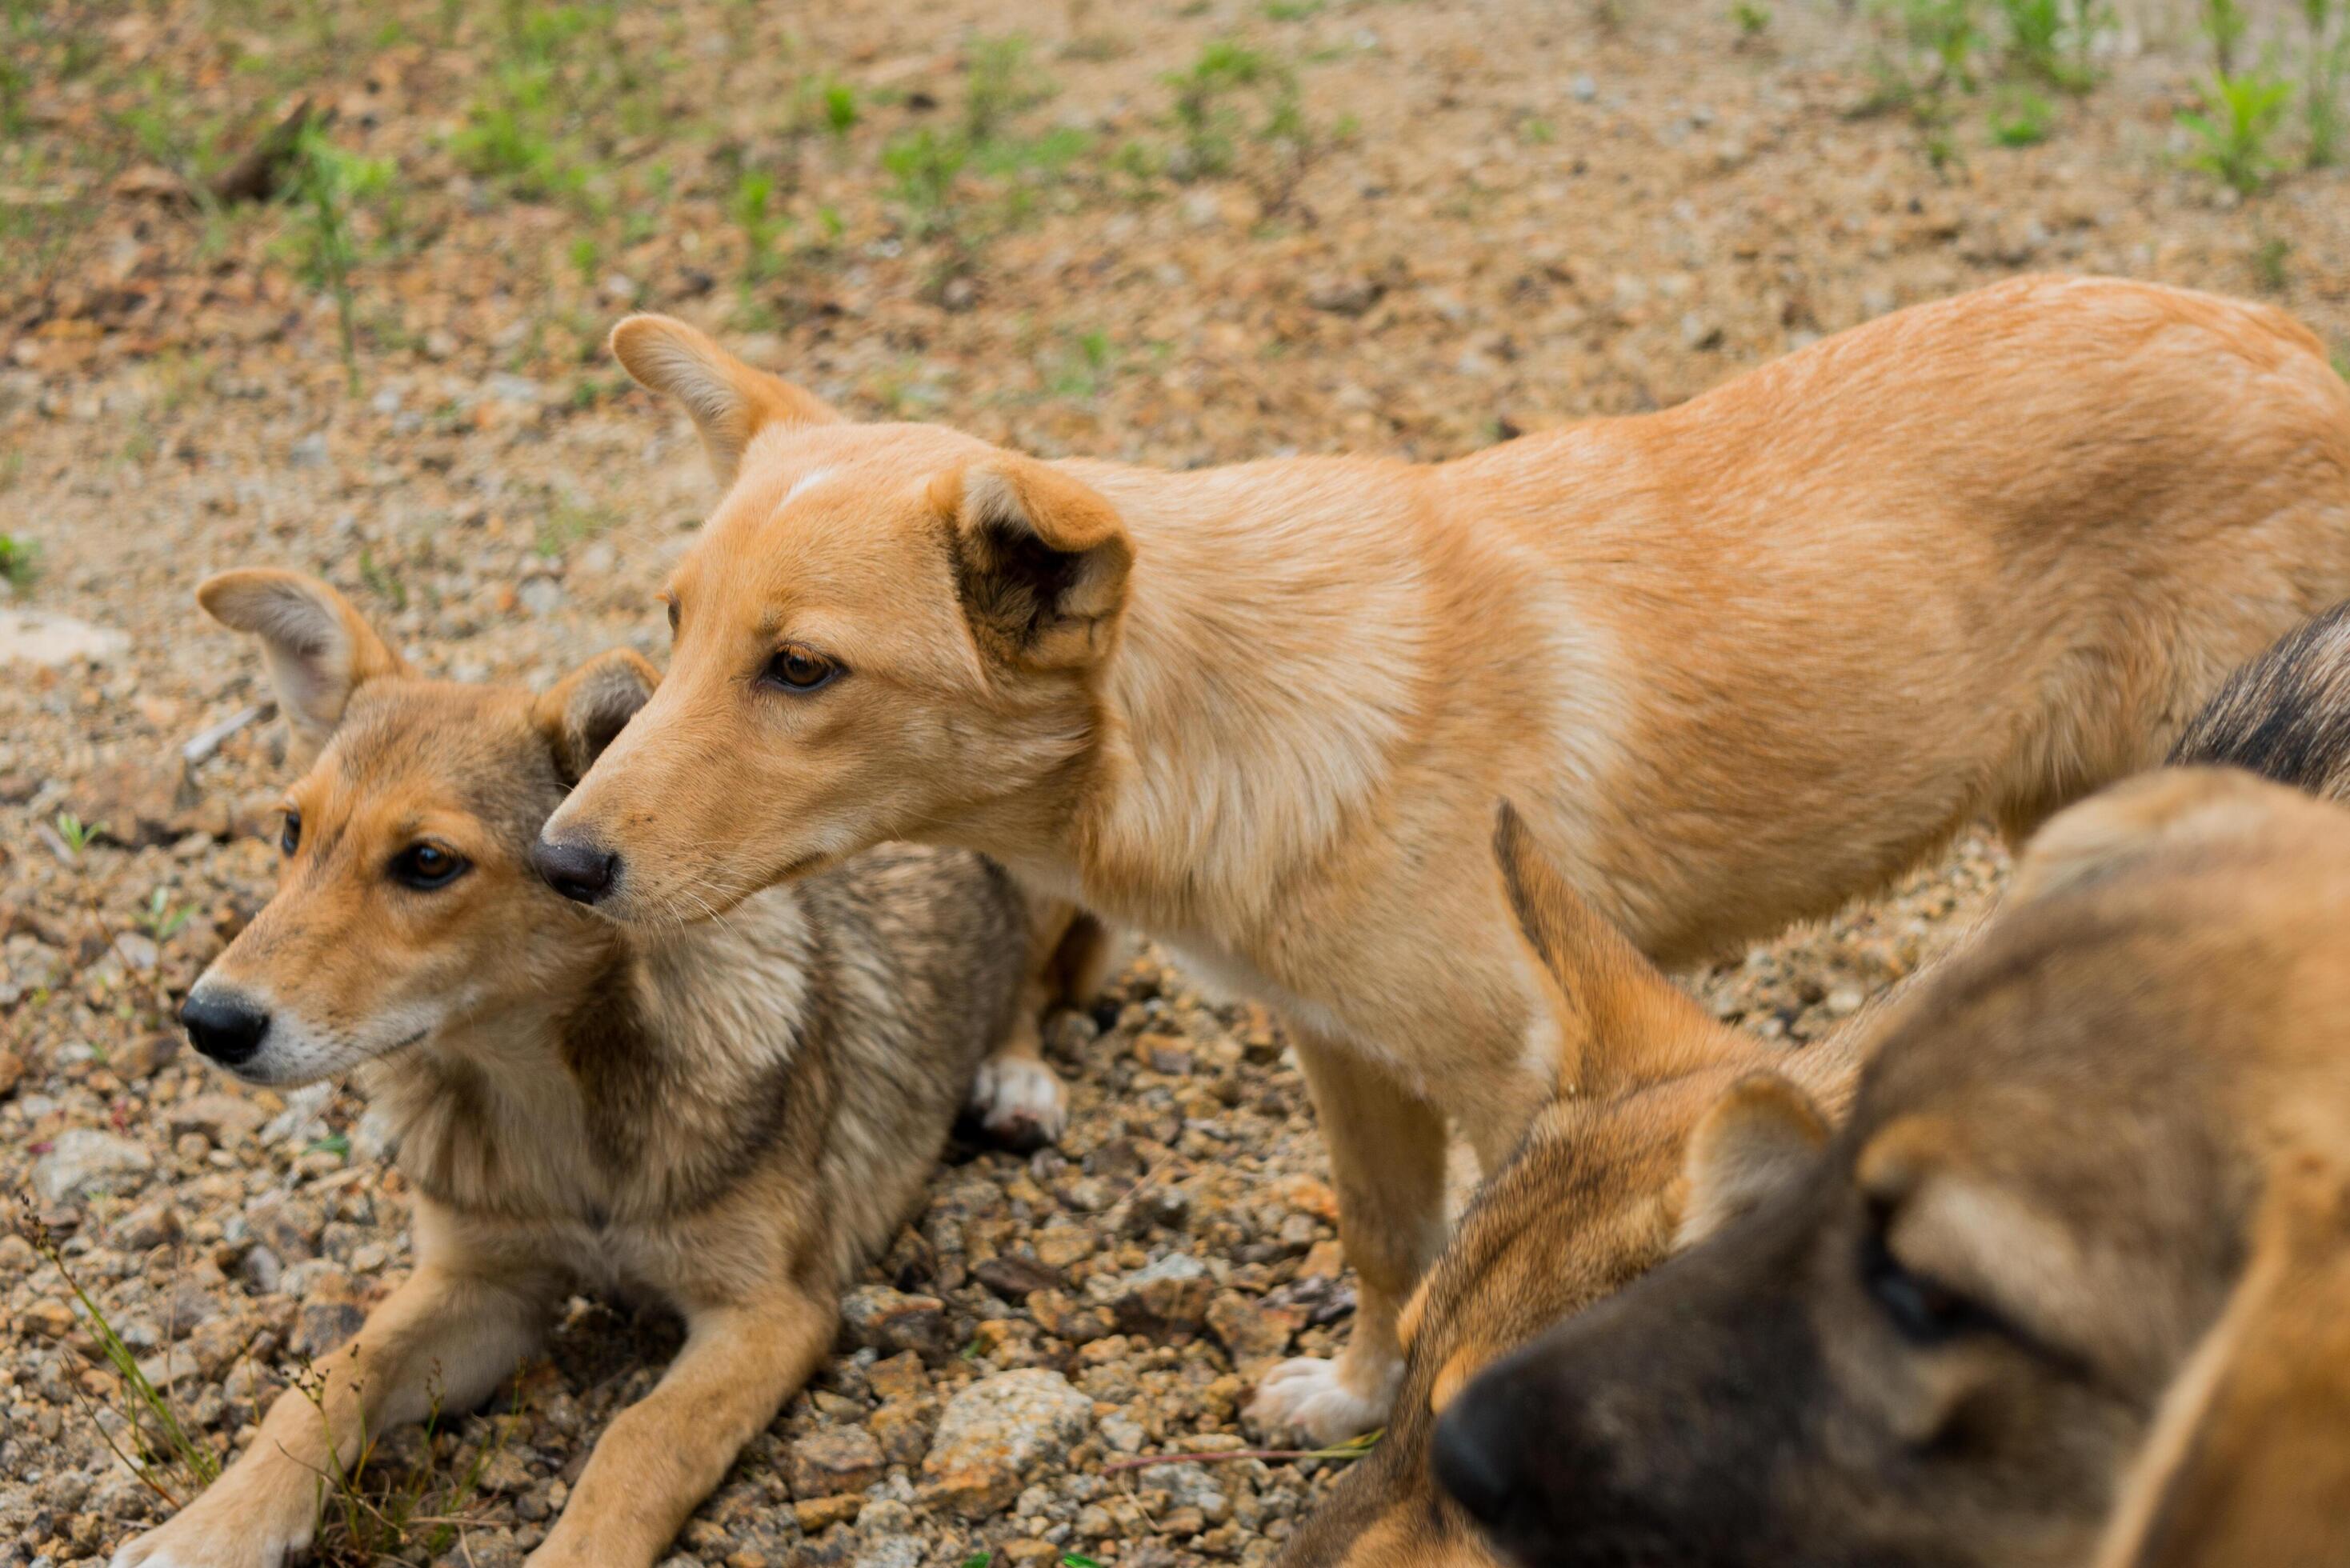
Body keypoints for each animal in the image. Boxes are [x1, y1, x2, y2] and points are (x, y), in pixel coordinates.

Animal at [110, 574, 1099, 1568]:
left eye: (428, 862)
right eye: (289, 829)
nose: (209, 1020)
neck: (550, 1096)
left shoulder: (772, 1310)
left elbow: (641, 1441)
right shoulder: (484, 1282)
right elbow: (332, 1372)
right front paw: (215, 1525)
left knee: (1033, 985)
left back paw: (1016, 1081)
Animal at [533, 270, 2350, 1438]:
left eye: (802, 671)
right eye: (677, 630)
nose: (559, 860)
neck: (1232, 699)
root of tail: (2302, 351)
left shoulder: (1524, 1071)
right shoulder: (1344, 1052)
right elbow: (1386, 1245)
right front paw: (1353, 1396)